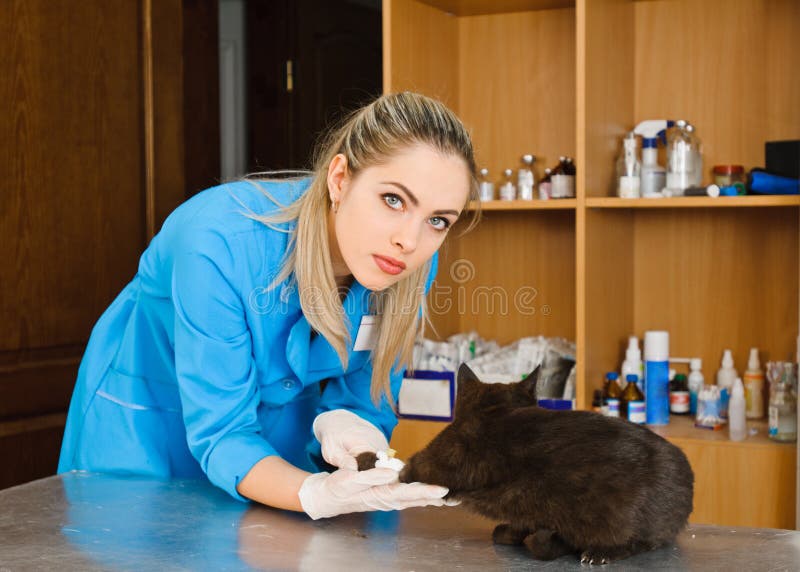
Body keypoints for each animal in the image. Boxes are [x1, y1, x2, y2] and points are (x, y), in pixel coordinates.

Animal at [390, 364, 692, 564]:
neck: (495, 410)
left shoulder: (434, 457)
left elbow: (412, 467)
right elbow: (516, 523)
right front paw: (515, 532)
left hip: (617, 518)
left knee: (635, 542)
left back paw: (596, 552)